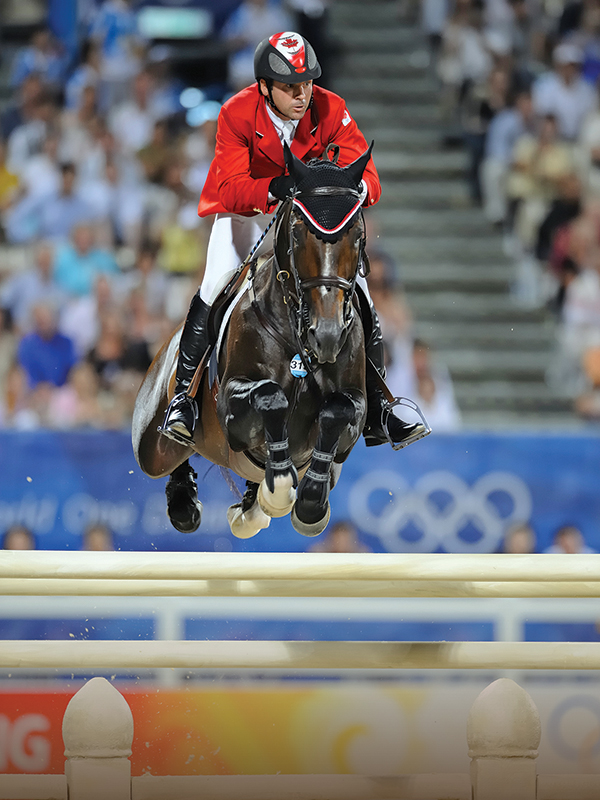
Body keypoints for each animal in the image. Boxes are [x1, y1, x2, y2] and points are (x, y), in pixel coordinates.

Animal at [132, 143, 377, 540]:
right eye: (298, 232)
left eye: (356, 233)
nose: (326, 335)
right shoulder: (231, 404)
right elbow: (269, 396)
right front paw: (279, 487)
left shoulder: (356, 406)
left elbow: (337, 410)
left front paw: (309, 503)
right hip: (151, 443)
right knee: (169, 453)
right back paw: (185, 497)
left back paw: (250, 504)